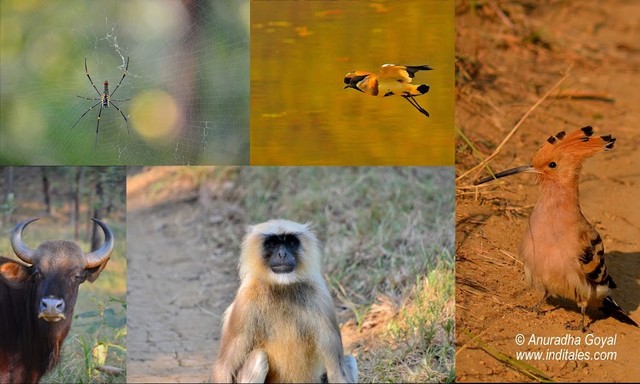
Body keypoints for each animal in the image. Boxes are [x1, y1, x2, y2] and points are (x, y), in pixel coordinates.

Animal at [211, 220, 358, 382]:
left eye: (291, 242)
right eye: (273, 243)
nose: (282, 254)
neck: (282, 287)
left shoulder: (321, 298)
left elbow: (338, 370)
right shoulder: (245, 301)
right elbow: (225, 367)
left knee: (349, 359)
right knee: (258, 357)